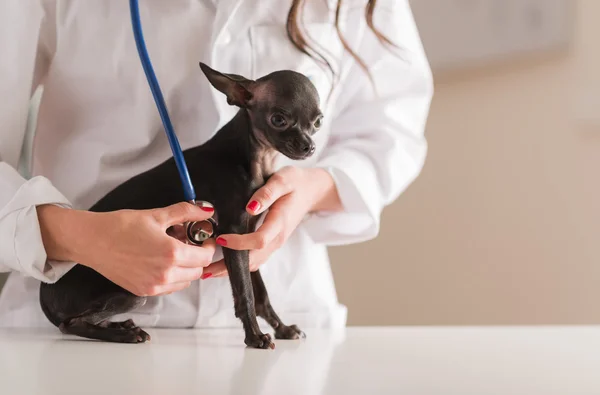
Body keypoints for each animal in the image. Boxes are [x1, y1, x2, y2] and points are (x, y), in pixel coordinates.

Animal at [38, 62, 324, 350]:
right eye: (279, 119)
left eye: (318, 122)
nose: (309, 147)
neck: (255, 158)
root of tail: (45, 297)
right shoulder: (233, 235)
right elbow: (245, 294)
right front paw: (254, 337)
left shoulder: (248, 239)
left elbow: (261, 294)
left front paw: (283, 329)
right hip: (133, 292)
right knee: (70, 324)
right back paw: (123, 334)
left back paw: (121, 325)